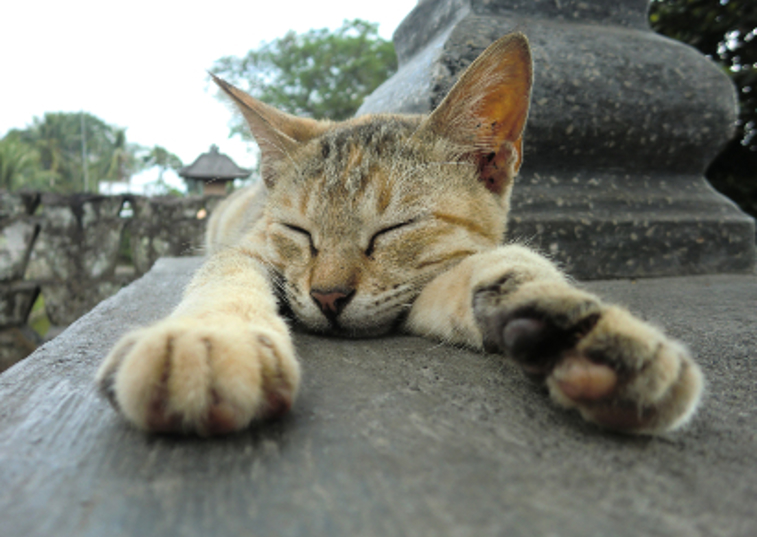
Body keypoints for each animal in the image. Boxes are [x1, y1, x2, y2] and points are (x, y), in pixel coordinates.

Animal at [94, 32, 704, 436]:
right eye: (298, 230)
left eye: (394, 229)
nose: (328, 297)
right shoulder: (250, 249)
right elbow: (225, 276)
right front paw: (210, 340)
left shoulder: (421, 287)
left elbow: (503, 272)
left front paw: (577, 327)